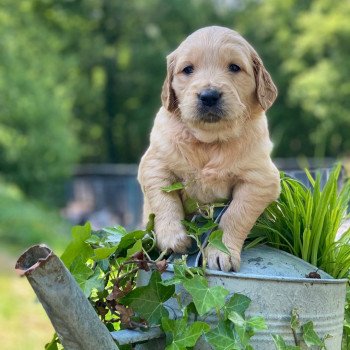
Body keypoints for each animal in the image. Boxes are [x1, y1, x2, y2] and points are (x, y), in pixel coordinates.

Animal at [138, 26, 280, 272]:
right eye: (188, 69)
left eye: (234, 67)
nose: (209, 95)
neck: (209, 142)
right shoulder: (154, 163)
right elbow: (164, 200)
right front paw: (173, 237)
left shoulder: (261, 180)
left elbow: (234, 215)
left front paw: (222, 252)